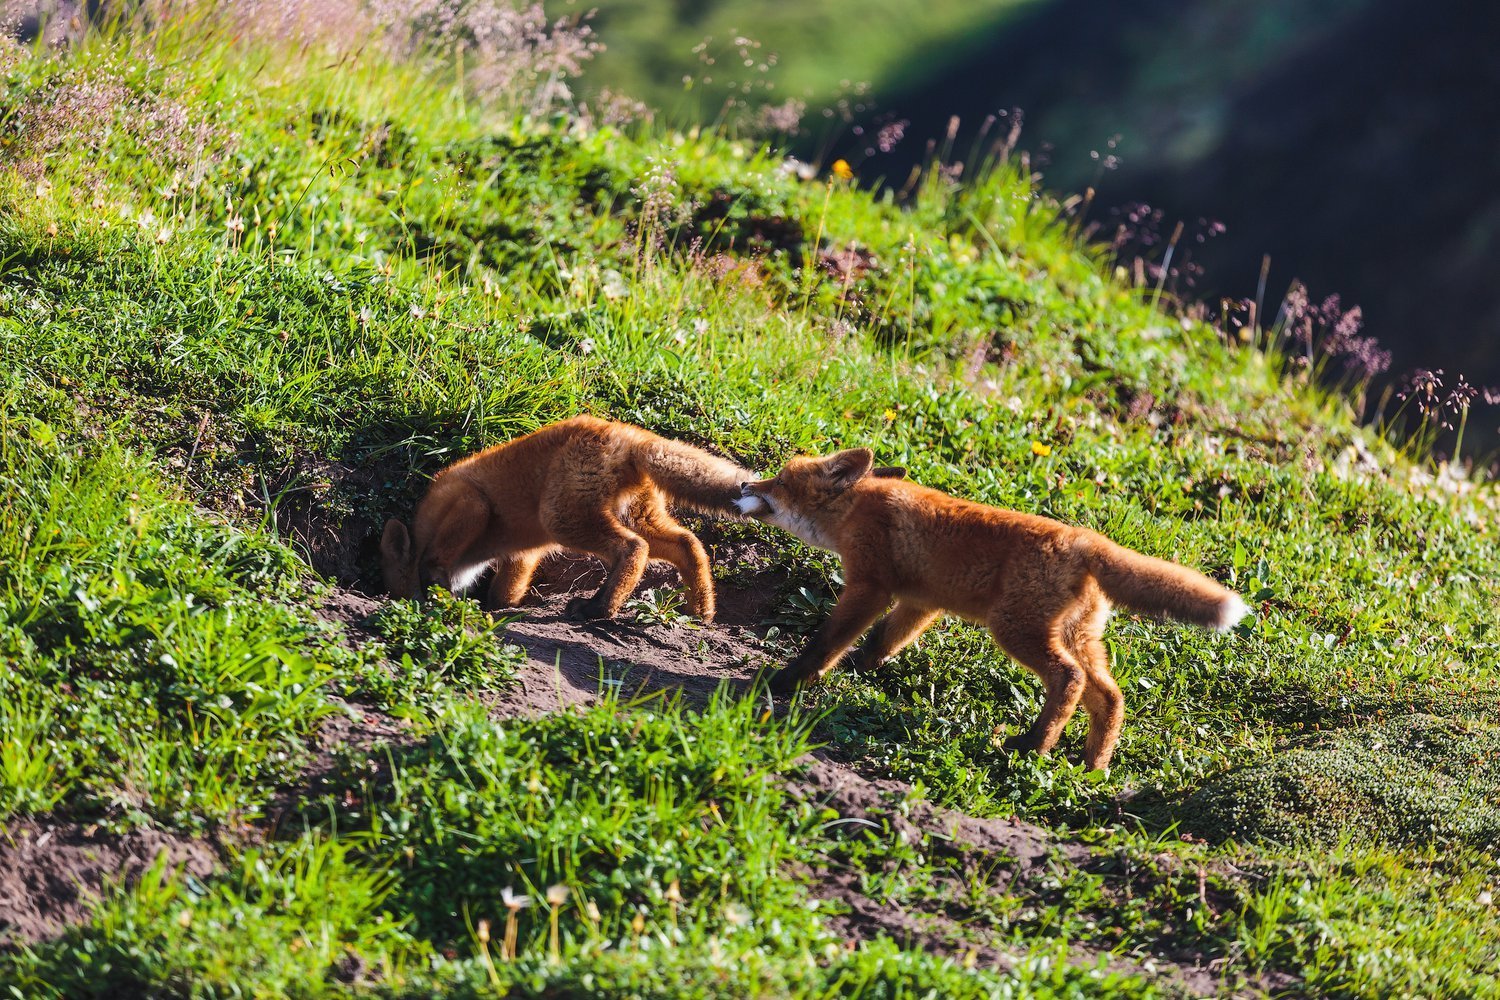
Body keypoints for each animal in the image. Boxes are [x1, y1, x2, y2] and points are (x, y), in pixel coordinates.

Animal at [378, 413, 747, 617]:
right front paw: (496, 607)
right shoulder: (522, 555)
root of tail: (626, 433)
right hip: (637, 516)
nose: (406, 601)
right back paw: (701, 610)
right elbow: (504, 594)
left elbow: (437, 560)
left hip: (561, 519)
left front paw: (437, 586)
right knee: (688, 544)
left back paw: (599, 609)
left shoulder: (471, 503)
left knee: (633, 548)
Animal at [735, 449, 1242, 773]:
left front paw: (789, 679)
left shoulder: (870, 586)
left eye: (780, 481)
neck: (854, 511)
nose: (742, 483)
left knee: (1069, 679)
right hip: (1078, 638)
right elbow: (882, 642)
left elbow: (827, 642)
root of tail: (1085, 539)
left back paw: (1033, 745)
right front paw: (859, 672)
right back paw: (1092, 765)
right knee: (1110, 697)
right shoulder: (921, 601)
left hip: (1014, 630)